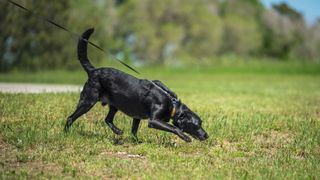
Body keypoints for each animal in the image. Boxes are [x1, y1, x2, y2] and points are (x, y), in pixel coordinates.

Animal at [63, 28, 209, 143]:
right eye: (197, 125)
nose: (206, 135)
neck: (172, 104)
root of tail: (93, 71)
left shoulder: (136, 117)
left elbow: (133, 131)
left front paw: (136, 142)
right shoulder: (153, 121)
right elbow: (174, 127)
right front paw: (185, 137)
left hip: (115, 104)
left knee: (107, 119)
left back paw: (117, 131)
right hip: (88, 101)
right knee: (70, 118)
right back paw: (65, 134)